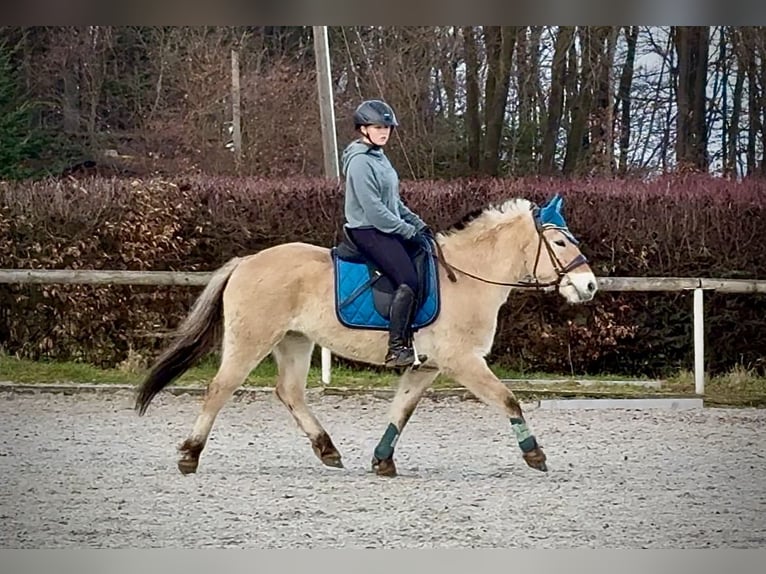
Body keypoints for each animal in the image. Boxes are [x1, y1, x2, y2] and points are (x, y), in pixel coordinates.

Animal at [134, 193, 598, 477]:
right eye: (559, 242)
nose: (590, 286)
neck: (468, 276)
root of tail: (246, 261)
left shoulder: (427, 367)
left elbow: (401, 410)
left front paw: (382, 461)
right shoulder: (463, 361)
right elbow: (508, 399)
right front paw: (535, 454)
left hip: (295, 341)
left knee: (290, 392)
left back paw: (327, 450)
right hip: (252, 340)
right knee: (220, 388)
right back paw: (190, 455)